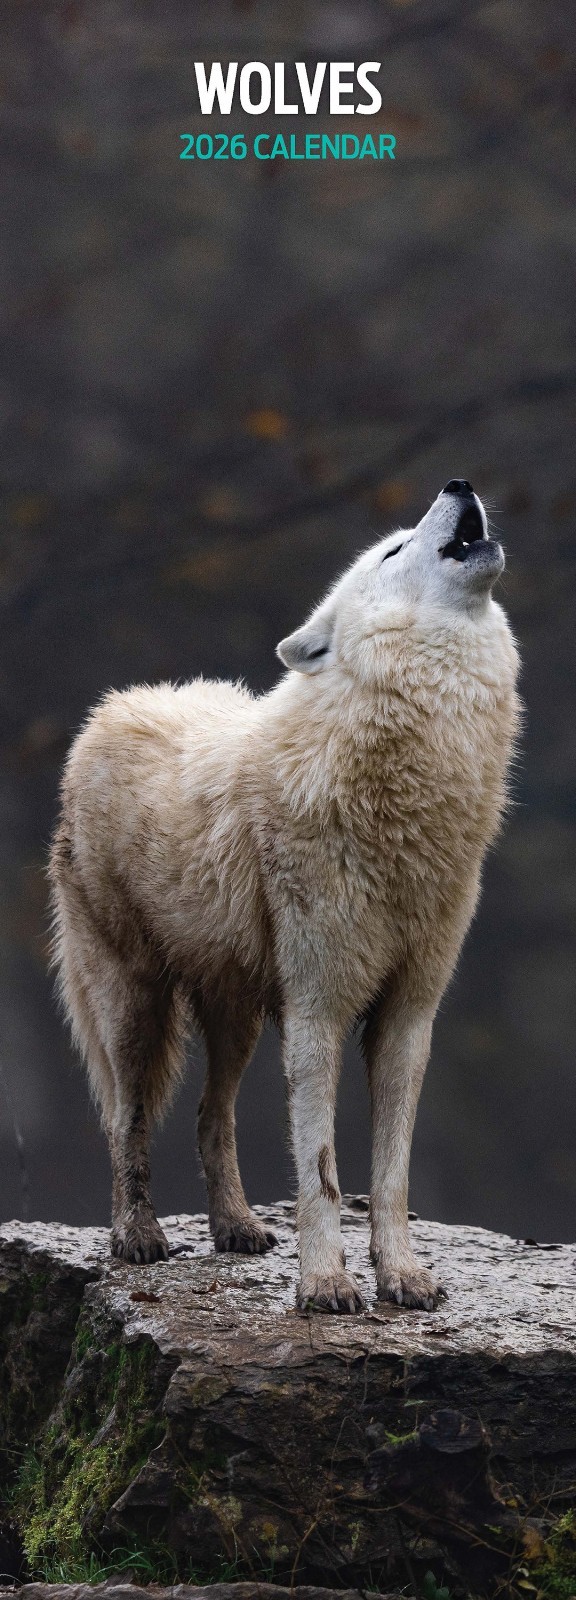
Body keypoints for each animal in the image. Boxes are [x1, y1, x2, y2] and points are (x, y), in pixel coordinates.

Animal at [49, 480, 520, 1313]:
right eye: (393, 550)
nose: (459, 485)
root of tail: (113, 706)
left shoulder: (410, 1016)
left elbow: (391, 1176)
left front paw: (400, 1275)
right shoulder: (318, 1011)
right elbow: (323, 1172)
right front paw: (327, 1284)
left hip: (236, 1013)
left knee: (210, 1116)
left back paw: (236, 1227)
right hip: (136, 1006)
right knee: (124, 1120)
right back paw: (137, 1236)